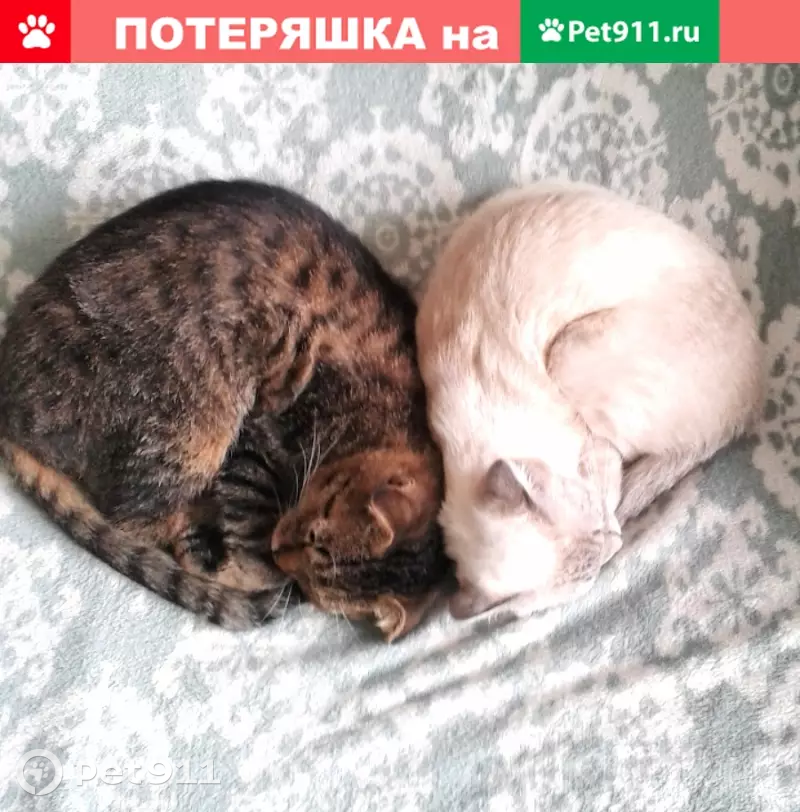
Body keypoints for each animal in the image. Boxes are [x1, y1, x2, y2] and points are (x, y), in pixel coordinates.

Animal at [0, 179, 450, 642]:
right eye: (316, 526)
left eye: (317, 585)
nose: (279, 549)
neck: (386, 421)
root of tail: (9, 414)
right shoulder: (261, 431)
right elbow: (248, 522)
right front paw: (253, 564)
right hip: (195, 428)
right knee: (133, 520)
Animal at [415, 180, 764, 620]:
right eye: (589, 575)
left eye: (598, 526)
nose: (615, 544)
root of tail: (752, 397)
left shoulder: (597, 450)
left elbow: (611, 480)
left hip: (570, 354)